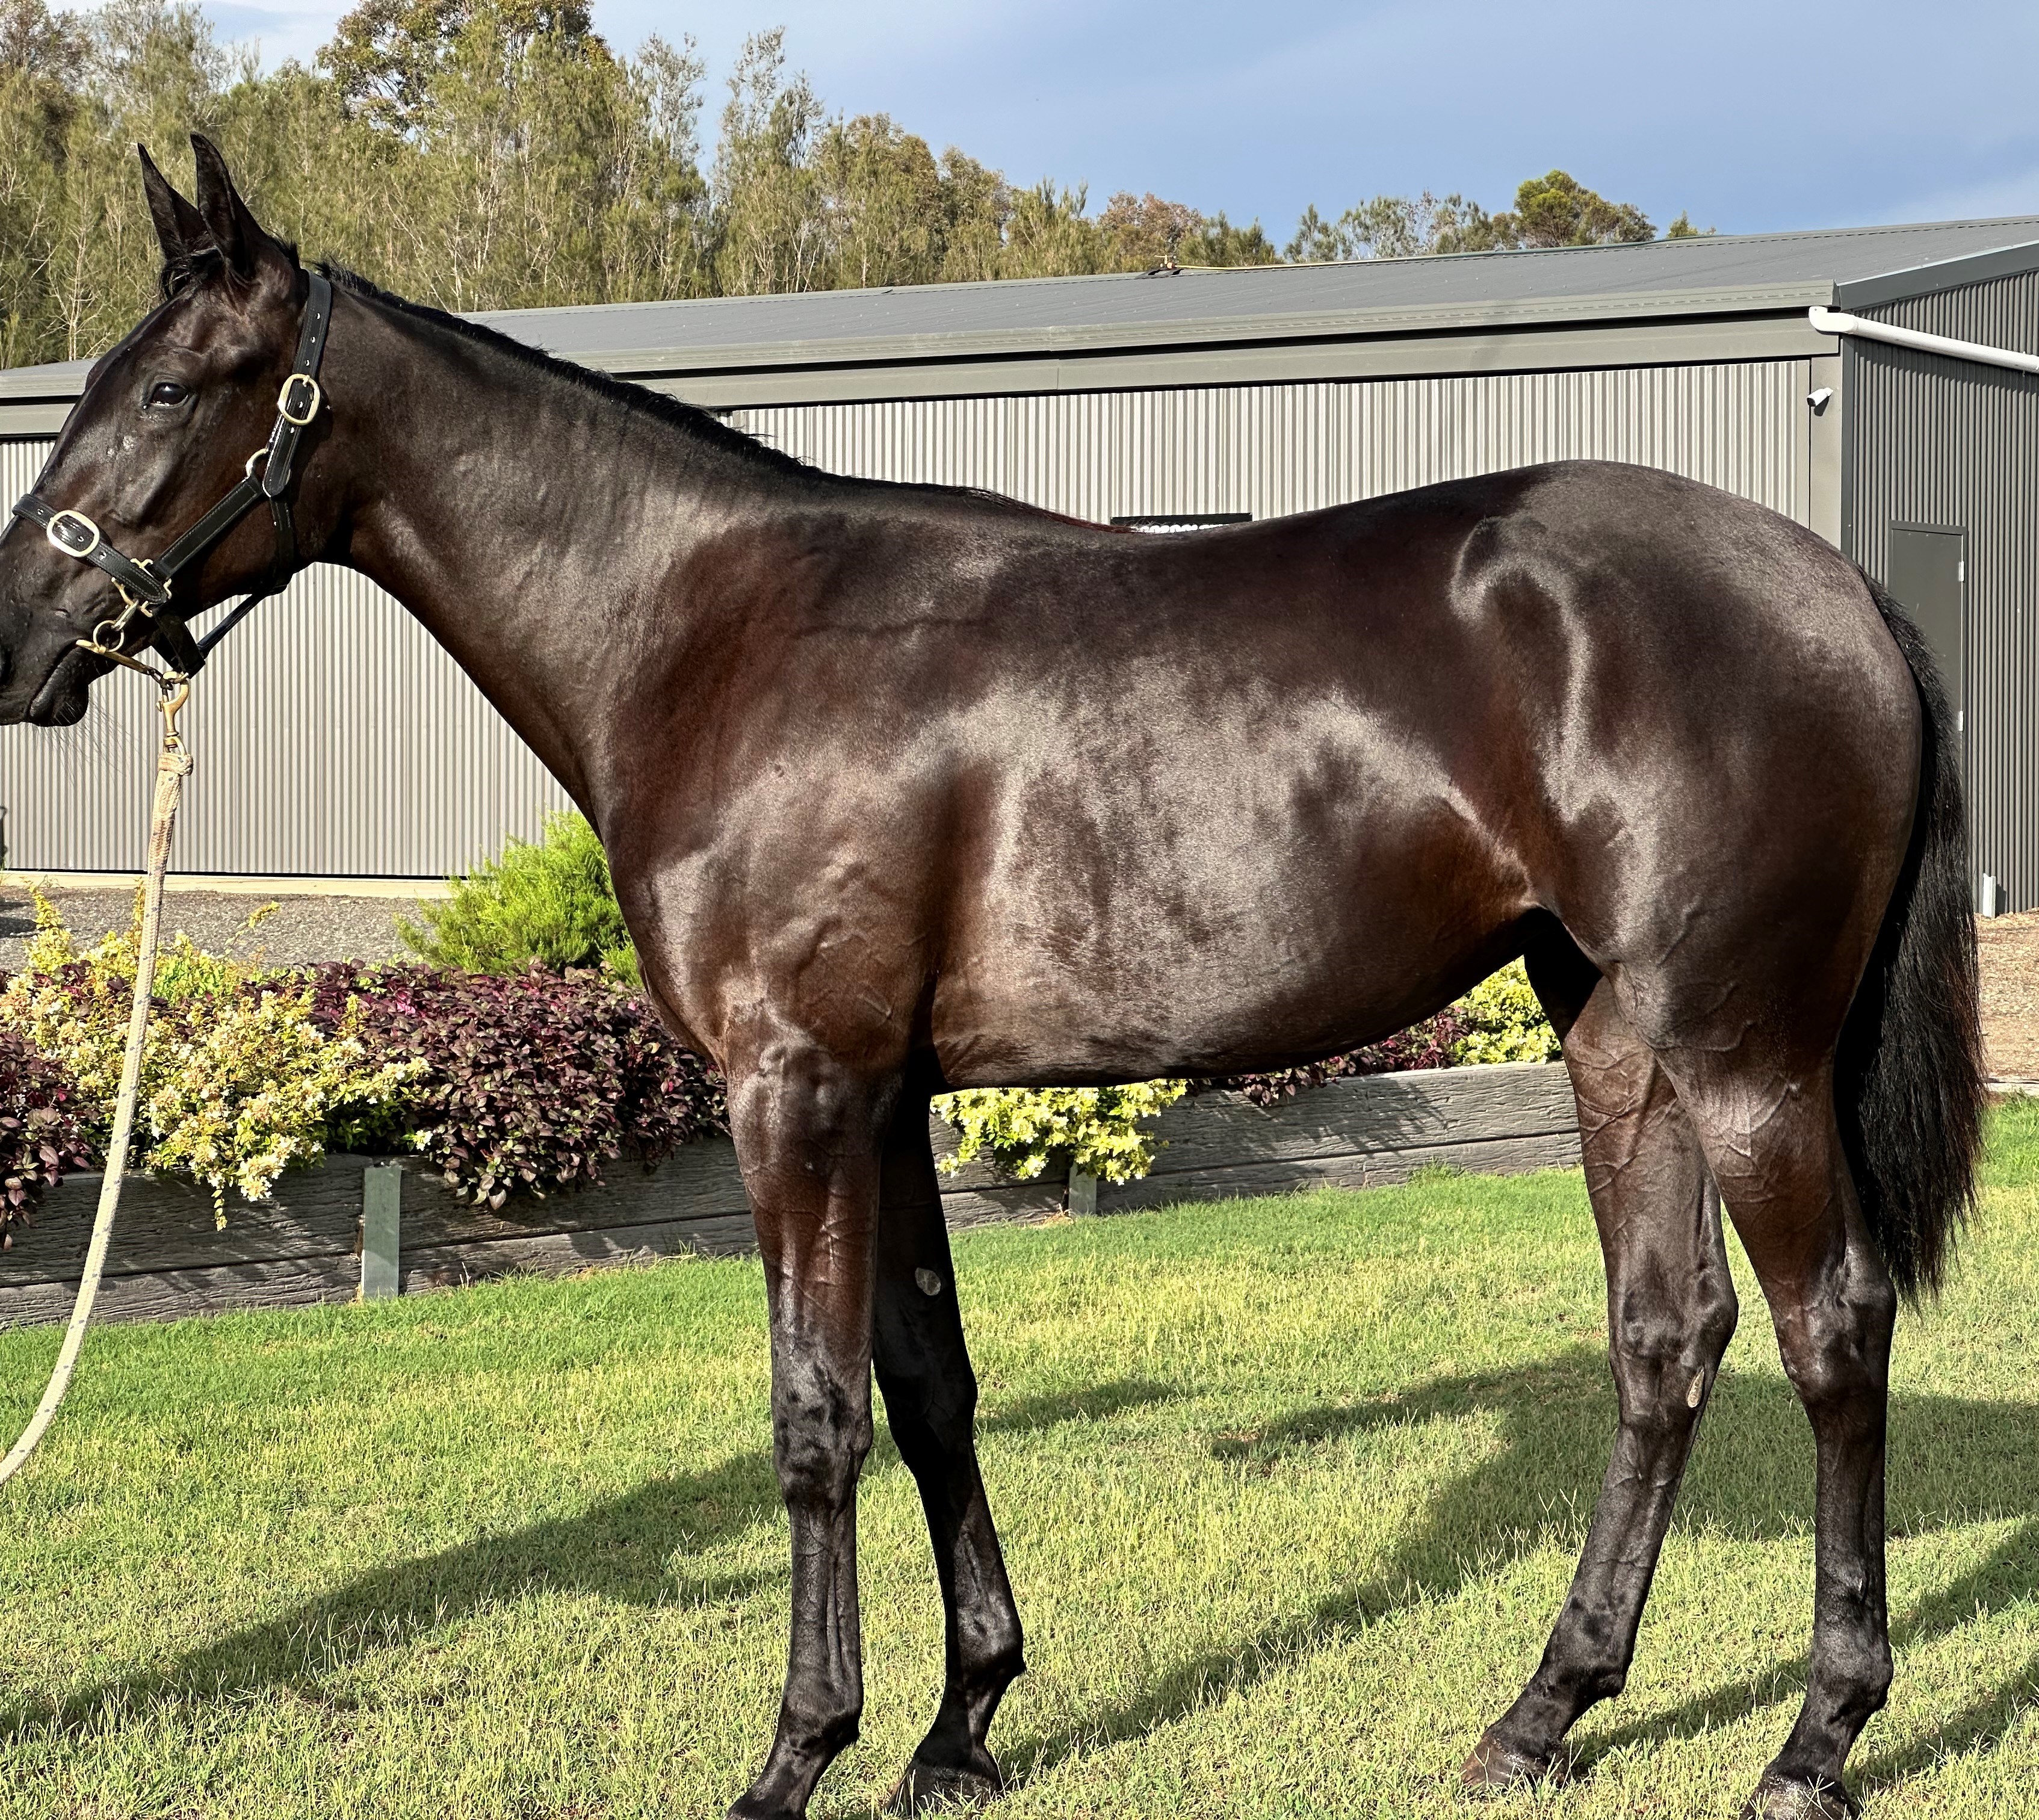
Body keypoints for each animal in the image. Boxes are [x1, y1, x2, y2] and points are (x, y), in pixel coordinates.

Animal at [0, 138, 1984, 1820]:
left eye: (168, 391)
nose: (20, 636)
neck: (716, 633)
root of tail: (1841, 594)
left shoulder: (792, 1090)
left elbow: (812, 1417)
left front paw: (797, 1751)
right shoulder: (879, 1101)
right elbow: (925, 1387)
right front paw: (958, 1727)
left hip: (1743, 1054)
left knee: (1828, 1332)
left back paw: (1813, 1743)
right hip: (1615, 1043)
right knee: (1666, 1341)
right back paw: (1541, 1715)